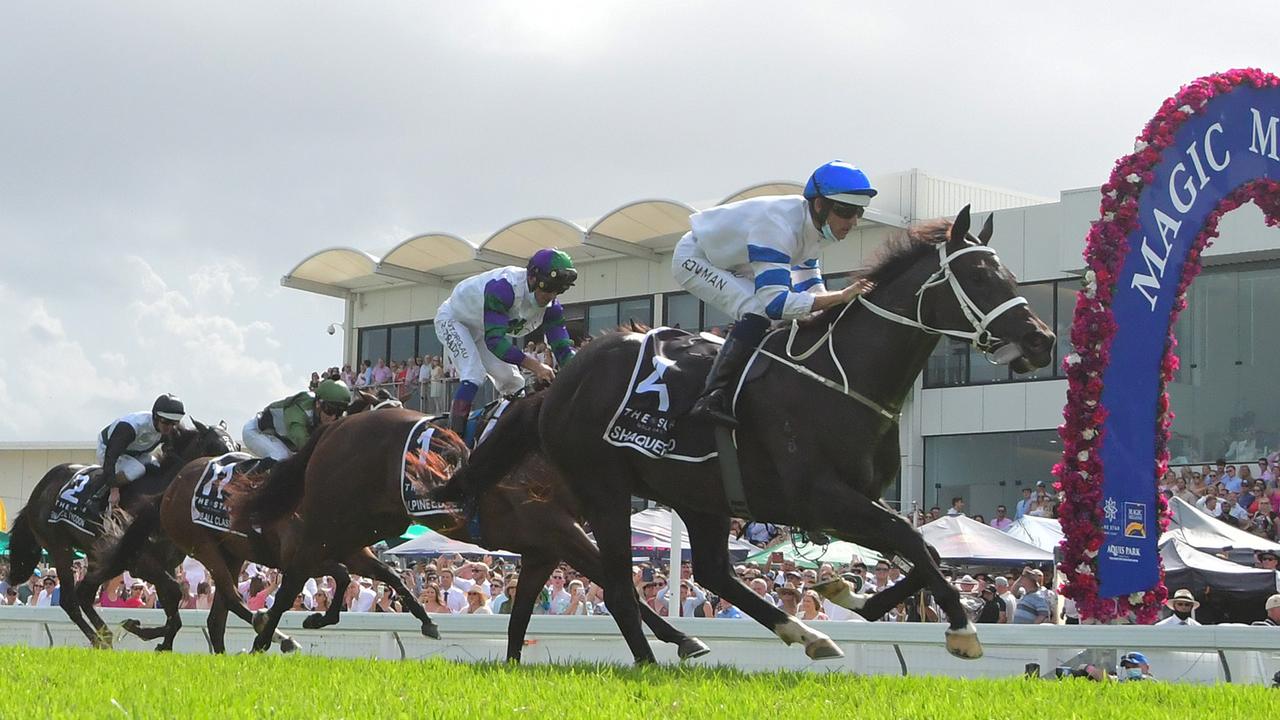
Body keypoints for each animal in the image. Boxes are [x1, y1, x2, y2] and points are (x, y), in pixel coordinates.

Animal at [5, 417, 239, 648]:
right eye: (215, 445)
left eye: (236, 445)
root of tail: (38, 491)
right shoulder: (139, 562)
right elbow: (174, 592)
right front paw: (140, 629)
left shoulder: (166, 564)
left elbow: (173, 604)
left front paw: (157, 639)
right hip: (60, 547)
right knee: (70, 599)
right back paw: (100, 639)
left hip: (99, 556)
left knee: (84, 594)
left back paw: (105, 636)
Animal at [437, 204, 1049, 661]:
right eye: (978, 276)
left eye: (1010, 275)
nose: (1041, 339)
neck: (839, 378)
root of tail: (561, 382)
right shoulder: (822, 498)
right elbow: (916, 542)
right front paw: (961, 629)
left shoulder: (860, 501)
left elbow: (925, 549)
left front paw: (847, 593)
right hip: (604, 490)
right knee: (619, 588)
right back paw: (653, 663)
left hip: (696, 496)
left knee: (710, 571)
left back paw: (803, 633)